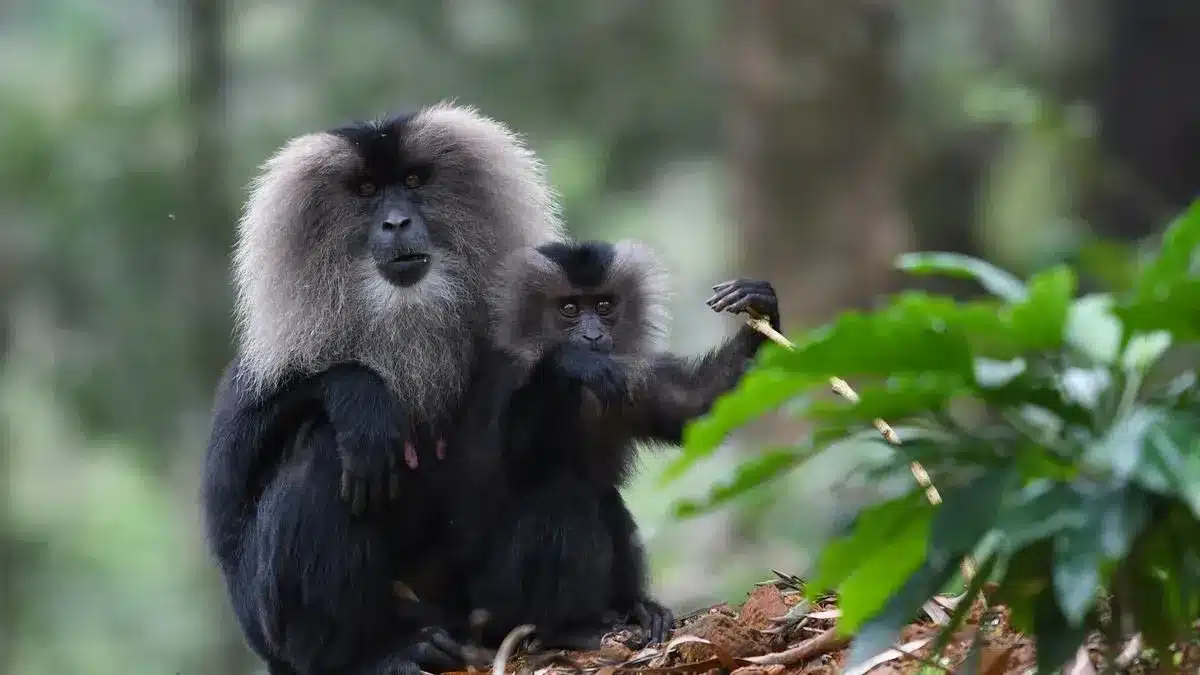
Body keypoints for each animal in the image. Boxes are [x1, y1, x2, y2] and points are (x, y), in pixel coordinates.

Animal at [200, 102, 566, 675]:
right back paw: (374, 656)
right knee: (324, 446)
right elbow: (226, 505)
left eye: (414, 181)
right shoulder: (262, 368)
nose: (397, 222)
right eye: (368, 190)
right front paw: (360, 396)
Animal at [462, 239, 781, 652]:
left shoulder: (631, 374)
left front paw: (762, 307)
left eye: (604, 306)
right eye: (569, 309)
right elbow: (503, 465)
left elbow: (693, 406)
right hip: (493, 602)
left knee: (604, 498)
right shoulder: (502, 372)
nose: (593, 337)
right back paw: (565, 630)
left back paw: (637, 610)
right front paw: (570, 362)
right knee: (562, 496)